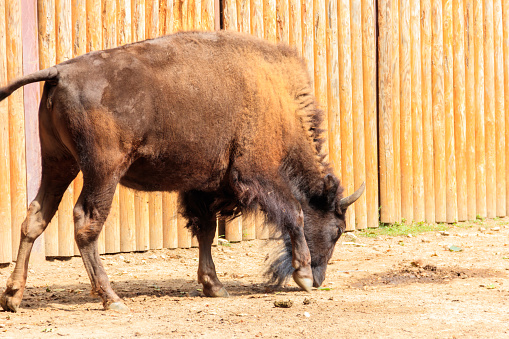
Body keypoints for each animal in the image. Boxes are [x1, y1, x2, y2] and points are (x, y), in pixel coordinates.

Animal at [1, 30, 364, 312]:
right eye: (337, 231)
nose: (320, 278)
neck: (279, 101)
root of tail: (59, 72)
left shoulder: (202, 187)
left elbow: (205, 230)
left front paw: (214, 286)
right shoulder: (257, 174)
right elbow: (295, 214)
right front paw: (302, 275)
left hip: (58, 163)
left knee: (35, 217)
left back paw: (12, 297)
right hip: (102, 170)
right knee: (85, 222)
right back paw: (112, 298)